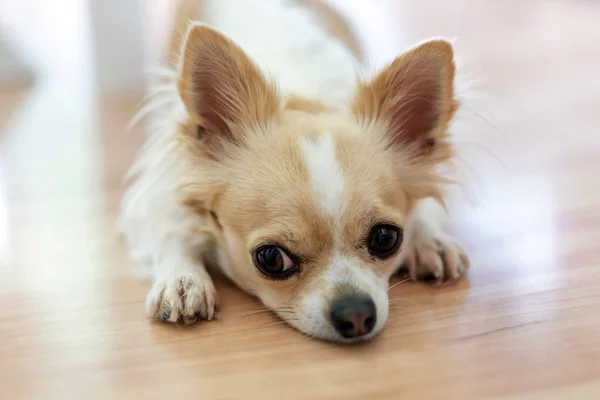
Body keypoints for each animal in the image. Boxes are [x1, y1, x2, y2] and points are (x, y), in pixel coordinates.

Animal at [120, 0, 468, 344]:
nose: (356, 314)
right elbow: (171, 228)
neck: (303, 99)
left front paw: (430, 238)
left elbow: (424, 203)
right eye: (272, 259)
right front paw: (182, 278)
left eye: (386, 238)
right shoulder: (166, 180)